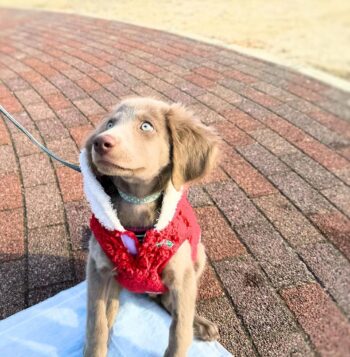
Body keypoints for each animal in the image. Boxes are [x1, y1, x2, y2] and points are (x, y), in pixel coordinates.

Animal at [82, 97, 219, 356]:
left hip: (199, 254)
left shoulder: (182, 277)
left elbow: (179, 331)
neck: (137, 204)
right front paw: (95, 347)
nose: (99, 142)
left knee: (170, 303)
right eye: (110, 123)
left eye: (146, 126)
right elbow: (96, 324)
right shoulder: (97, 268)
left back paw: (200, 324)